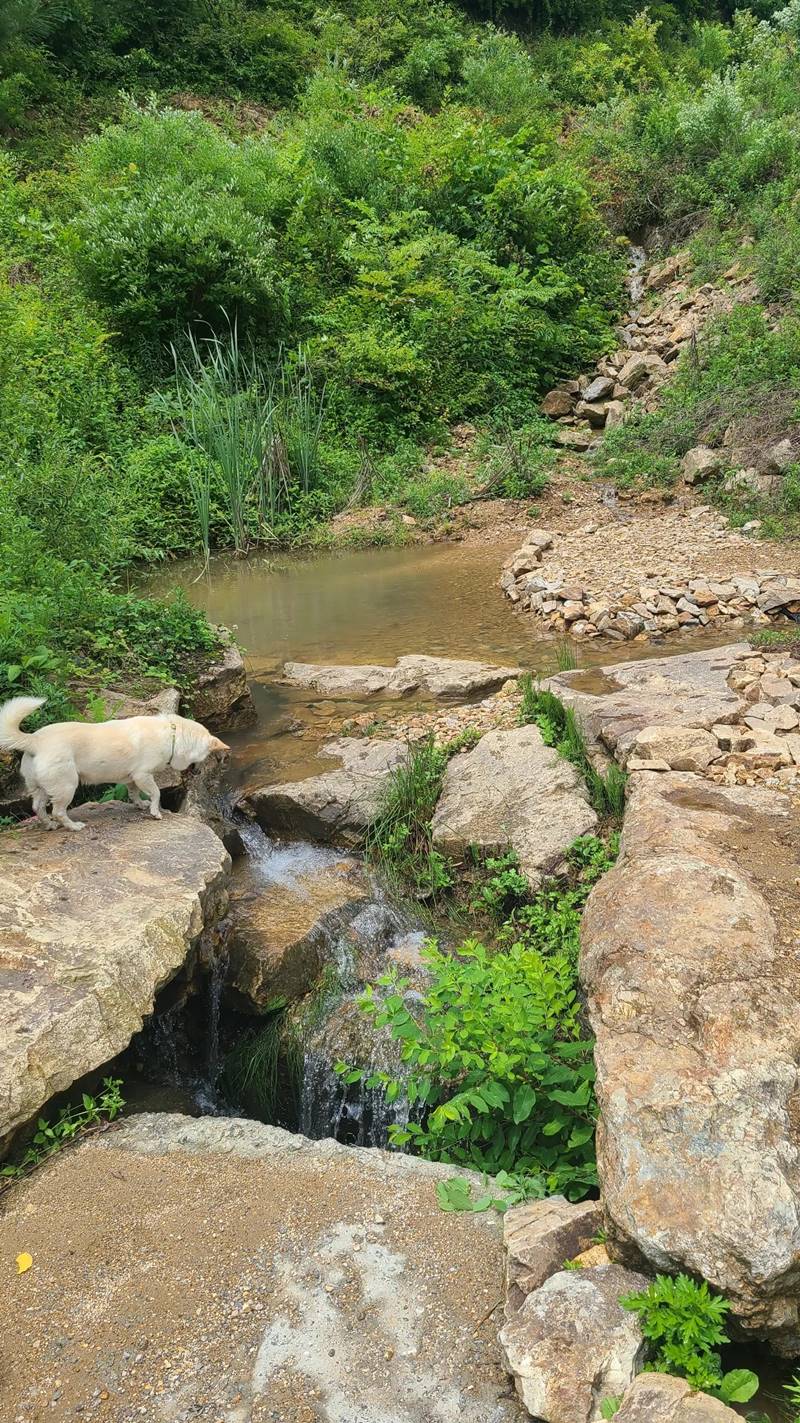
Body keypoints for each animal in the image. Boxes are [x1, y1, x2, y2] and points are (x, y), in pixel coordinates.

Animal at [0, 694, 227, 831]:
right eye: (207, 757)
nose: (200, 772)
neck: (172, 734)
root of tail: (34, 740)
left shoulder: (133, 779)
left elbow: (134, 793)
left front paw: (140, 805)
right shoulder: (144, 776)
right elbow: (156, 793)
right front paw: (155, 811)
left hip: (41, 788)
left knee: (38, 808)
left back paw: (49, 825)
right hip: (67, 786)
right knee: (58, 812)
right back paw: (73, 826)